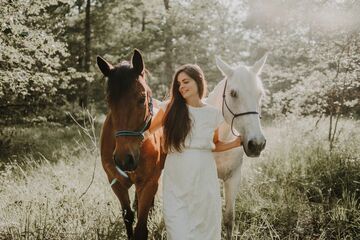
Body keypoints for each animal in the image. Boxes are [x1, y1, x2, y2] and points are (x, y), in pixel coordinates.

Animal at [97, 49, 167, 239]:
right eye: (108, 100)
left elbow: (141, 228)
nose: (123, 159)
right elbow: (128, 216)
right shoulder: (115, 181)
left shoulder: (149, 182)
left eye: (142, 99)